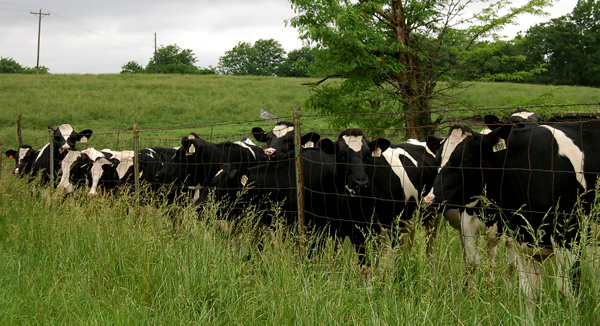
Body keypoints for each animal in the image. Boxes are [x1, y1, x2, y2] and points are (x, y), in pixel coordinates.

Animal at [426, 118, 600, 310]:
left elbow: (568, 290)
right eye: (437, 159)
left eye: (465, 159)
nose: (430, 200)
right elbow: (527, 291)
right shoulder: (514, 236)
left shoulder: (568, 236)